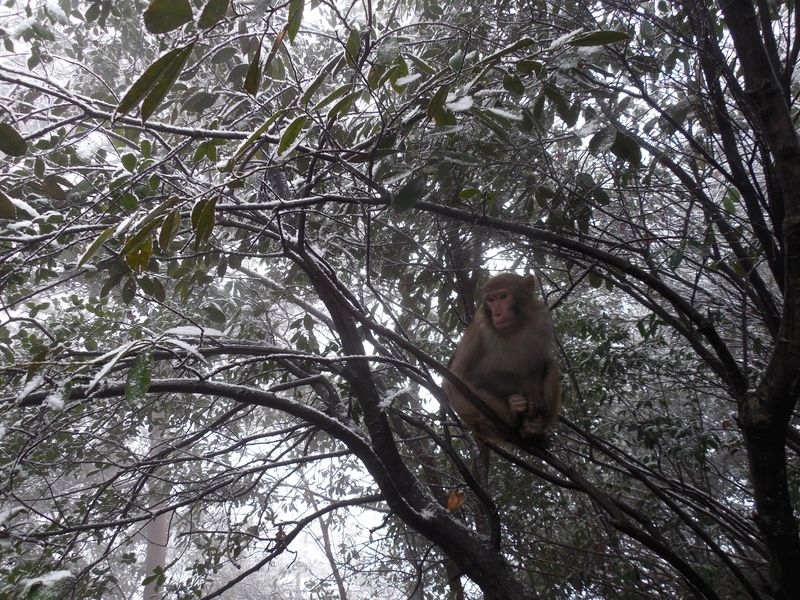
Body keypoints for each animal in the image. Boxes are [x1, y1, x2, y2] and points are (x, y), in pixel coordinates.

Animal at [444, 274, 564, 442]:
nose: (497, 314)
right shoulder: (478, 331)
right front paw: (527, 388)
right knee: (452, 383)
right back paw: (513, 415)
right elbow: (464, 375)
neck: (515, 327)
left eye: (503, 296)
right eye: (491, 300)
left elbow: (540, 364)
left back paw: (533, 427)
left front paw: (534, 404)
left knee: (552, 365)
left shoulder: (542, 321)